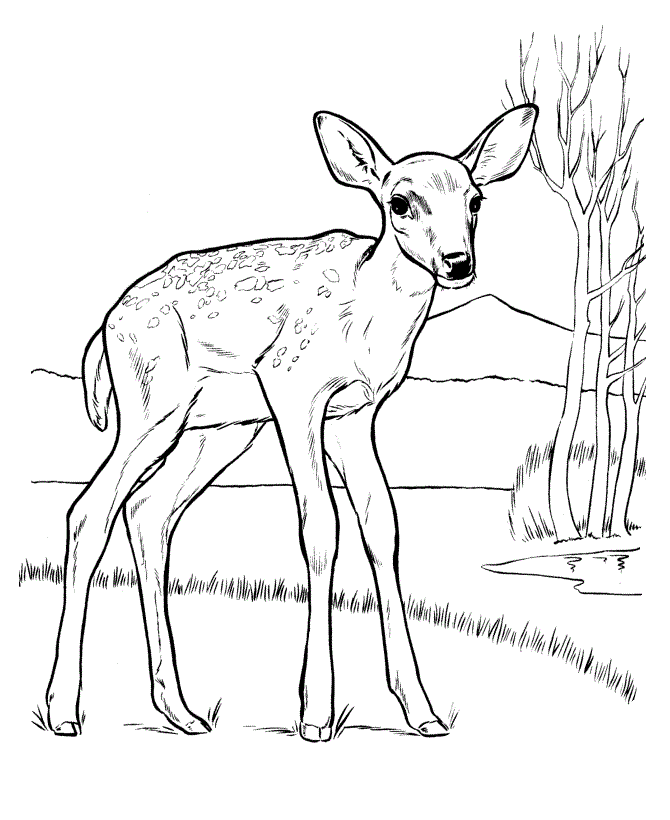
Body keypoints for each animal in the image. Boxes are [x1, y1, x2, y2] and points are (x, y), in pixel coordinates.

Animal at [46, 105, 538, 741]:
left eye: (476, 199)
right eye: (399, 201)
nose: (457, 263)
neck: (367, 319)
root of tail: (106, 325)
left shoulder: (355, 415)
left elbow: (381, 525)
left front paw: (422, 712)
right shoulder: (293, 389)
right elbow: (321, 526)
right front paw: (316, 713)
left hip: (216, 429)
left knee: (147, 512)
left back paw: (182, 710)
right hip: (152, 407)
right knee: (89, 511)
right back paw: (63, 711)